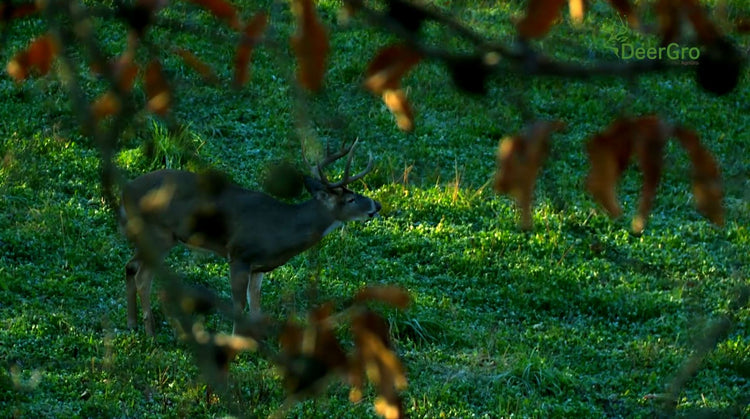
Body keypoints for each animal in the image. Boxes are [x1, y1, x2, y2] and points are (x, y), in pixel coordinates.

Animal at [122, 140, 382, 334]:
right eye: (350, 199)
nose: (376, 205)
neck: (281, 229)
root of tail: (126, 190)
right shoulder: (239, 255)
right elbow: (238, 305)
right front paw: (236, 344)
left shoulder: (260, 267)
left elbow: (255, 306)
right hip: (159, 234)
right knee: (143, 276)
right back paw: (151, 331)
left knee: (130, 266)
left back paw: (133, 323)